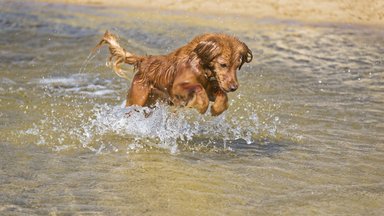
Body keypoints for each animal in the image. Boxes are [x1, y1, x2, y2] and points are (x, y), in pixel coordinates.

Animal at [94, 30, 252, 115]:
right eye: (223, 65)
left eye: (237, 66)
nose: (234, 87)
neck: (200, 64)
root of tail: (145, 60)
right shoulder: (177, 88)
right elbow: (198, 87)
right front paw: (202, 106)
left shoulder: (211, 87)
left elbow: (221, 93)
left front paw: (218, 108)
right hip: (137, 100)